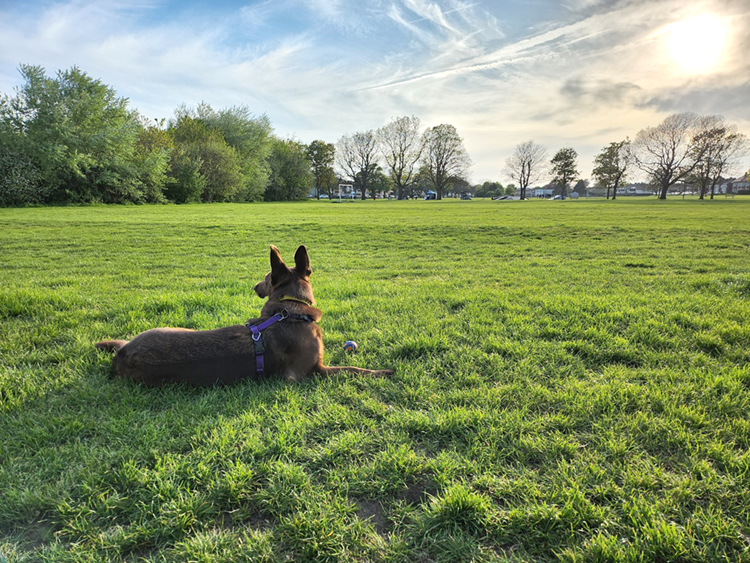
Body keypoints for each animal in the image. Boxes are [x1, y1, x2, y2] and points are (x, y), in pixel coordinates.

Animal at [94, 247, 394, 388]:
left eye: (265, 277)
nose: (254, 287)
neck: (290, 311)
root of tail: (122, 353)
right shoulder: (308, 372)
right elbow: (352, 369)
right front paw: (382, 372)